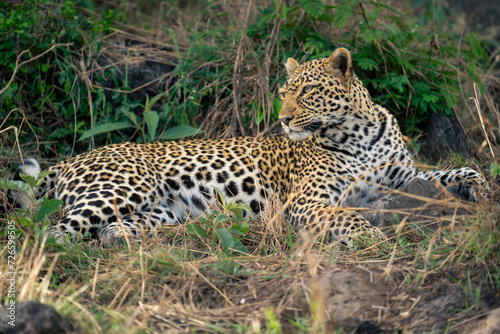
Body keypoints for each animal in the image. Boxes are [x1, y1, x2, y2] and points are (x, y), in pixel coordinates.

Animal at [8, 47, 488, 245]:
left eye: (308, 91)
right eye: (284, 93)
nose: (284, 119)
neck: (359, 131)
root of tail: (72, 158)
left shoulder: (404, 176)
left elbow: (458, 170)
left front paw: (481, 190)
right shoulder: (308, 201)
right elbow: (347, 213)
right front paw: (369, 235)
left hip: (160, 207)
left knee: (108, 229)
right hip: (122, 187)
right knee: (51, 231)